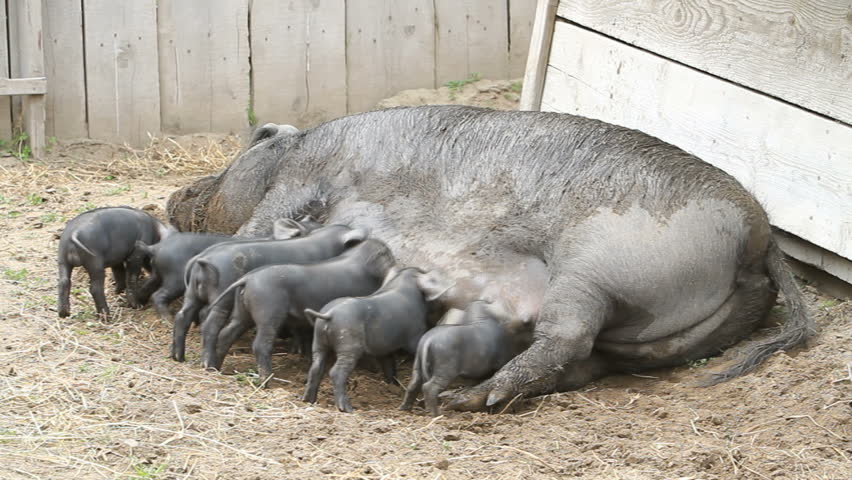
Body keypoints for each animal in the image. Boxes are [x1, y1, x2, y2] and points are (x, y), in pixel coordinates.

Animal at [171, 224, 366, 363]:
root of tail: (202, 259)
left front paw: (298, 351)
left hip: (191, 294)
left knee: (182, 316)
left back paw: (178, 357)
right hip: (222, 295)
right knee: (210, 324)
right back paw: (207, 363)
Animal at [204, 239, 396, 381]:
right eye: (388, 254)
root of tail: (247, 279)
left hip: (241, 312)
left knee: (227, 333)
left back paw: (216, 368)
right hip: (268, 312)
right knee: (260, 344)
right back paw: (267, 380)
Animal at [301, 267, 429, 412]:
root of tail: (330, 314)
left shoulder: (385, 347)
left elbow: (389, 365)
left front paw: (393, 385)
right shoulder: (415, 334)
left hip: (318, 342)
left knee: (315, 368)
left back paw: (308, 400)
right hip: (348, 345)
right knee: (336, 372)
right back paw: (347, 409)